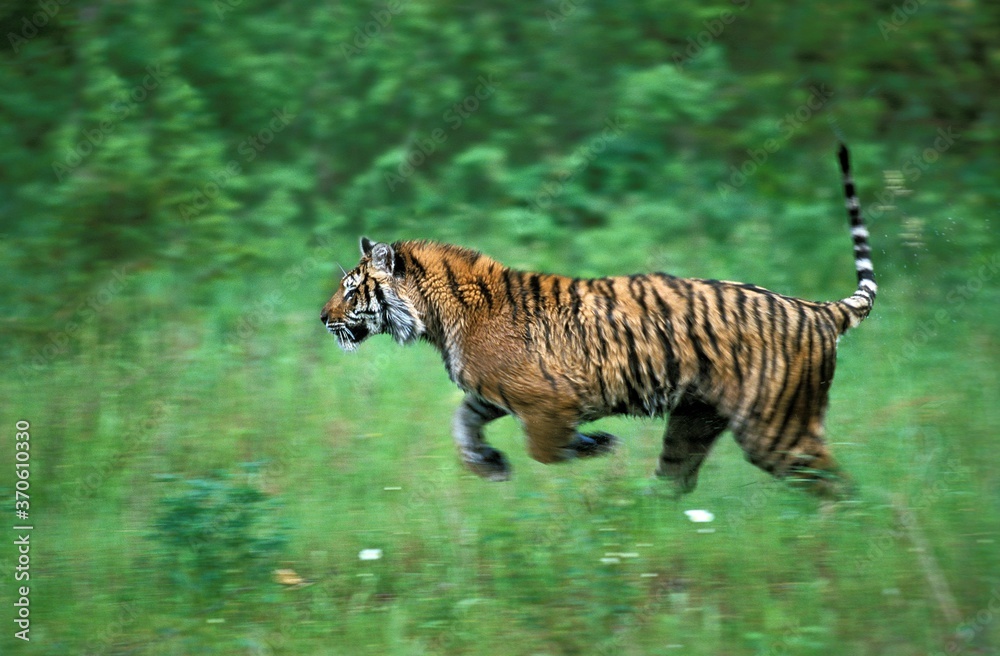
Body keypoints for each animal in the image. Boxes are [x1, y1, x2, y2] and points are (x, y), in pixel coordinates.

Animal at [320, 145, 876, 498]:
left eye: (351, 289)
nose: (322, 318)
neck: (436, 318)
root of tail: (817, 309)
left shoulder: (548, 399)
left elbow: (545, 450)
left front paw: (594, 445)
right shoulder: (490, 394)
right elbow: (462, 423)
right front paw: (489, 466)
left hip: (775, 426)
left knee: (840, 488)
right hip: (694, 418)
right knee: (676, 479)